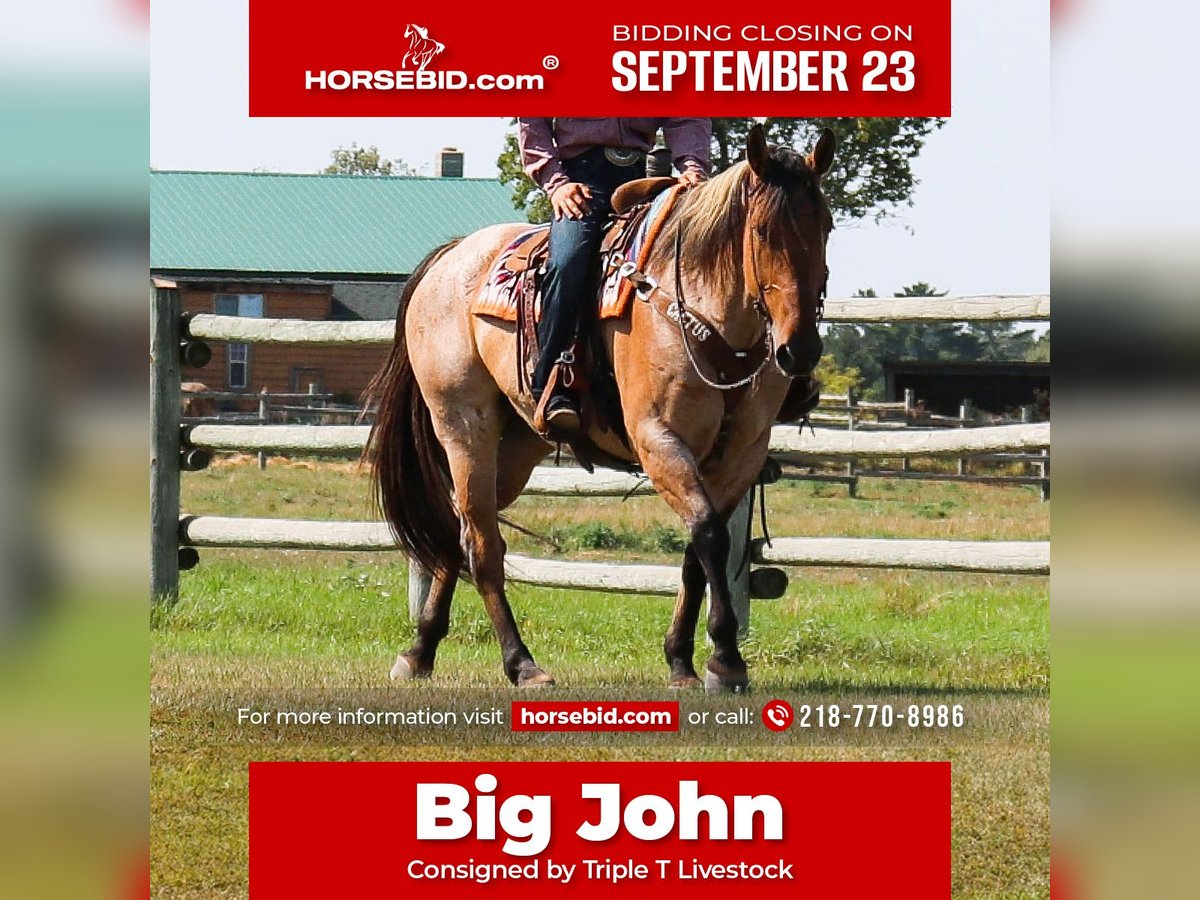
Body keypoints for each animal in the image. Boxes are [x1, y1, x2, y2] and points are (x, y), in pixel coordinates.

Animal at [364, 123, 835, 696]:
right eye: (764, 231)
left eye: (827, 225)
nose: (799, 351)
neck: (705, 313)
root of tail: (451, 256)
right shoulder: (658, 439)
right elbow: (707, 533)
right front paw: (725, 658)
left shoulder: (741, 454)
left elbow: (698, 552)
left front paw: (683, 660)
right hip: (462, 426)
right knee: (482, 544)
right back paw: (521, 663)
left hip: (516, 445)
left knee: (457, 530)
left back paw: (420, 649)